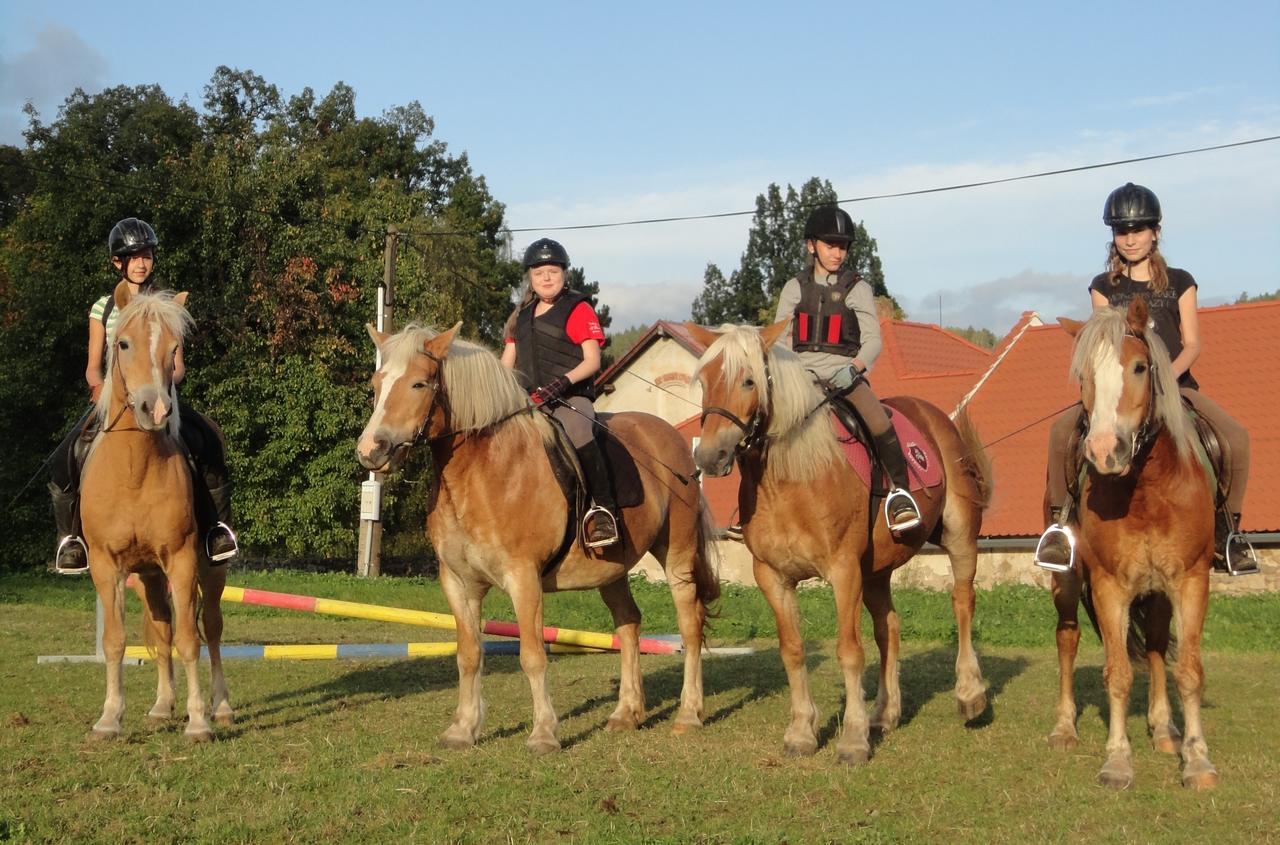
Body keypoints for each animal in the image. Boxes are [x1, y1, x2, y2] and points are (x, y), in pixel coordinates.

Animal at [80, 281, 232, 737]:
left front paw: (198, 721)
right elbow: (116, 640)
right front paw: (110, 718)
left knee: (211, 628)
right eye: (122, 343)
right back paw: (163, 705)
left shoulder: (182, 559)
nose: (156, 409)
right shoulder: (106, 565)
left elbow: (190, 639)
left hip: (211, 567)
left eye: (174, 348)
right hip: (148, 574)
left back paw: (221, 707)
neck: (134, 468)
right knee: (162, 627)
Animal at [358, 321, 721, 752]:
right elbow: (468, 654)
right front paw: (463, 729)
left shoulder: (523, 578)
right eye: (377, 383)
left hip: (677, 553)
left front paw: (544, 733)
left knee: (689, 624)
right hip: (612, 569)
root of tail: (672, 440)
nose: (371, 450)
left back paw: (689, 714)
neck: (483, 472)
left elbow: (532, 655)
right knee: (629, 623)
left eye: (418, 383)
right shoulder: (458, 582)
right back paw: (626, 713)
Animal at [686, 318, 993, 768]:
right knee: (889, 628)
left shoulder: (844, 570)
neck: (792, 479)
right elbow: (792, 650)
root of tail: (937, 417)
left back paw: (970, 694)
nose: (710, 457)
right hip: (877, 570)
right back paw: (885, 712)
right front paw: (801, 731)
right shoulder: (773, 577)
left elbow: (849, 650)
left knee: (962, 602)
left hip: (959, 536)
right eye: (705, 381)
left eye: (748, 381)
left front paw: (852, 739)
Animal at [1049, 298, 1218, 793]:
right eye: (1084, 373)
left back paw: (1164, 729)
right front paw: (1118, 761)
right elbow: (1119, 673)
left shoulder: (1190, 581)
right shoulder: (1109, 586)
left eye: (1140, 367)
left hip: (1159, 593)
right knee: (1068, 637)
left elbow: (1189, 671)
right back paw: (1064, 728)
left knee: (1159, 646)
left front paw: (1196, 760)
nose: (1106, 451)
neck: (1147, 491)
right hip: (1068, 582)